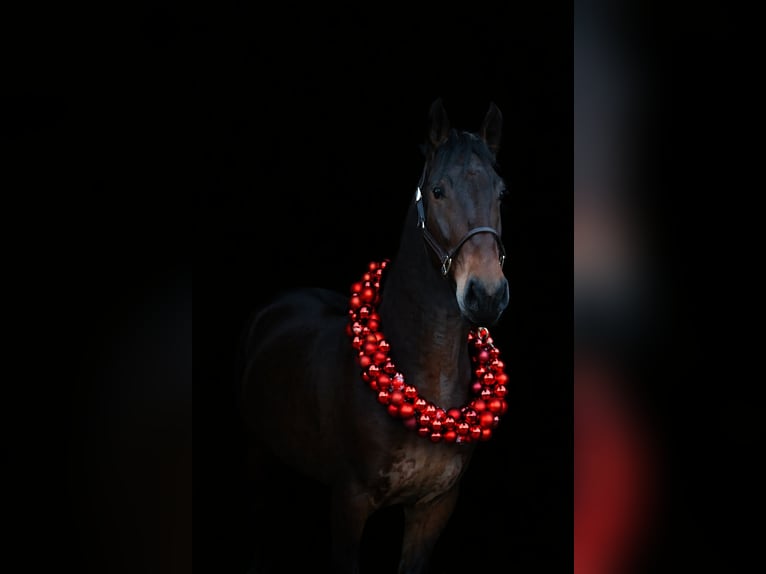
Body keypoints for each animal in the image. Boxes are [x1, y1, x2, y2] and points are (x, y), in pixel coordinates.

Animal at [239, 98, 510, 573]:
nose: (487, 295)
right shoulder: (349, 503)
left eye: (500, 192)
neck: (426, 381)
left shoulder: (434, 508)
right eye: (437, 191)